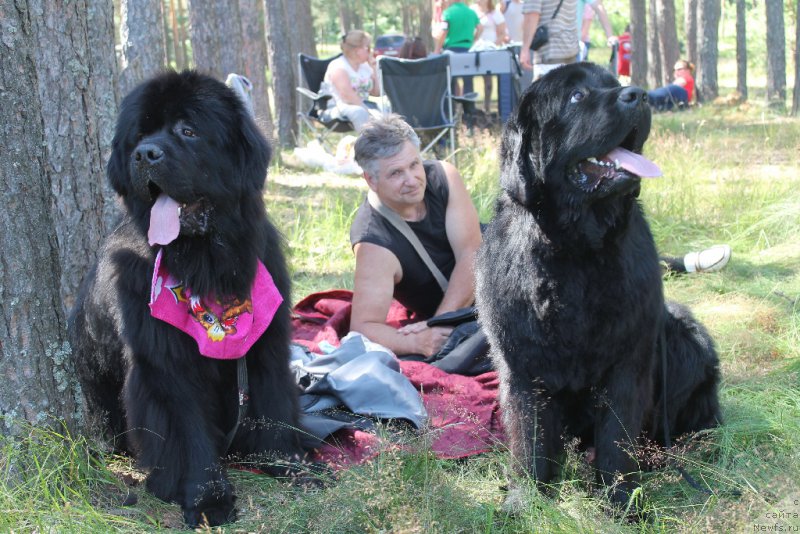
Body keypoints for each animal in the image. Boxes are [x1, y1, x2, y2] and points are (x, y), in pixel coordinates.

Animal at [70, 70, 308, 528]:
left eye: (188, 131)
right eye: (139, 134)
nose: (145, 154)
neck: (206, 266)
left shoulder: (266, 344)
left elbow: (273, 402)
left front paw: (291, 464)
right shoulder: (165, 366)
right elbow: (187, 432)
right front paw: (207, 498)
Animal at [476, 65, 724, 512]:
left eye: (614, 82)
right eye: (576, 96)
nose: (638, 94)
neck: (575, 253)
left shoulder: (627, 361)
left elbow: (616, 438)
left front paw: (621, 502)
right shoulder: (522, 364)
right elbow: (529, 435)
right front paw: (526, 499)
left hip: (684, 336)